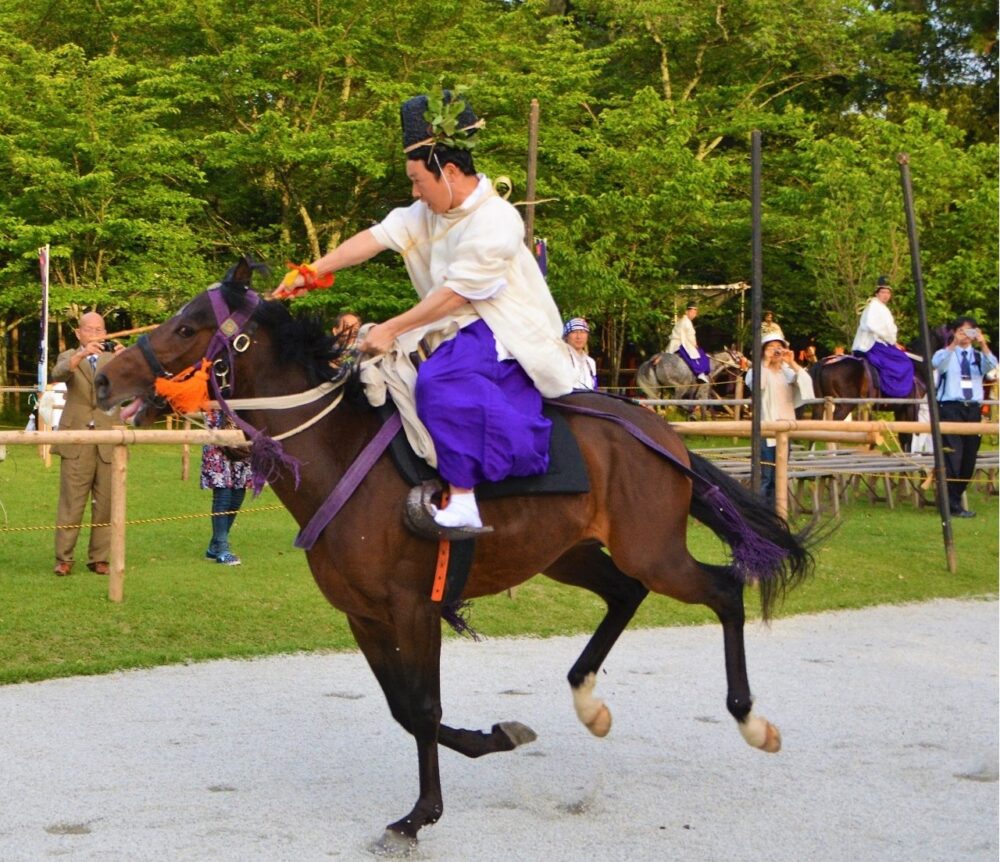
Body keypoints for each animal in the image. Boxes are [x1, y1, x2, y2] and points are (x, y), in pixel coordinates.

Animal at [96, 259, 813, 850]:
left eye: (186, 326)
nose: (104, 377)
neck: (339, 454)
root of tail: (659, 431)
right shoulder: (363, 615)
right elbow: (404, 708)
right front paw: (494, 738)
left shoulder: (414, 606)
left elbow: (423, 707)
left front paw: (419, 815)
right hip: (568, 553)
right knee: (624, 594)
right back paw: (590, 702)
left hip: (652, 550)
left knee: (723, 589)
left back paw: (752, 720)